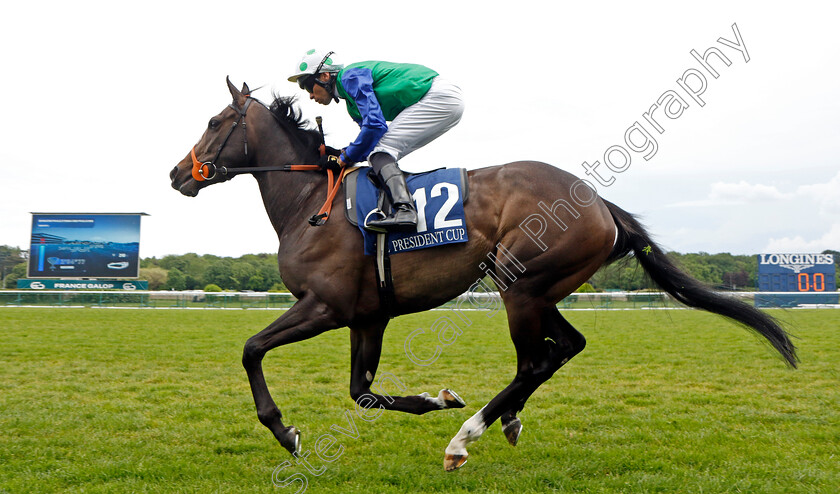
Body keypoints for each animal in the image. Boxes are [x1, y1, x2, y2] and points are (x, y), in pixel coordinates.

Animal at [171, 77, 800, 470]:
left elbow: (252, 349)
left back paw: (466, 437)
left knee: (536, 360)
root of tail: (600, 204)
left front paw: (286, 432)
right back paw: (504, 419)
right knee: (566, 346)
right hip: (539, 288)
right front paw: (435, 398)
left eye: (215, 120)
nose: (178, 173)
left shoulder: (324, 306)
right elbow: (363, 393)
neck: (310, 203)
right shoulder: (367, 316)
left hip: (520, 285)